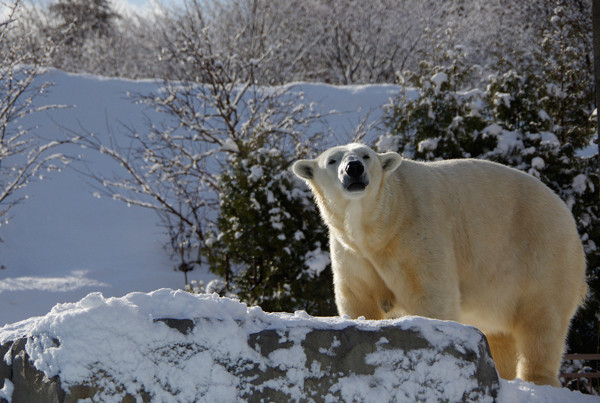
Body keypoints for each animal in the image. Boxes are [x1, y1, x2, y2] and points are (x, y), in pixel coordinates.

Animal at [292, 144, 588, 386]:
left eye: (366, 155)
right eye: (332, 160)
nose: (354, 168)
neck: (382, 224)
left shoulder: (417, 230)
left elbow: (431, 294)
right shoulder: (351, 252)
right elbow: (358, 297)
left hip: (542, 252)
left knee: (542, 321)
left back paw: (537, 380)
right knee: (501, 335)